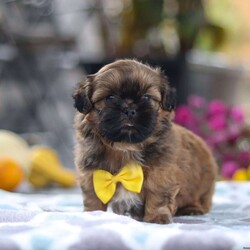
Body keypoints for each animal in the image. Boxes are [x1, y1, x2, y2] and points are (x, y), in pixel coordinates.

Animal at [72, 59, 217, 225]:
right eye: (110, 98)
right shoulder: (92, 173)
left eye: (146, 97)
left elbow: (157, 195)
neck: (126, 147)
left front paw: (156, 216)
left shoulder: (161, 173)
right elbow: (93, 196)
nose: (129, 109)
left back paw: (192, 209)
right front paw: (93, 213)